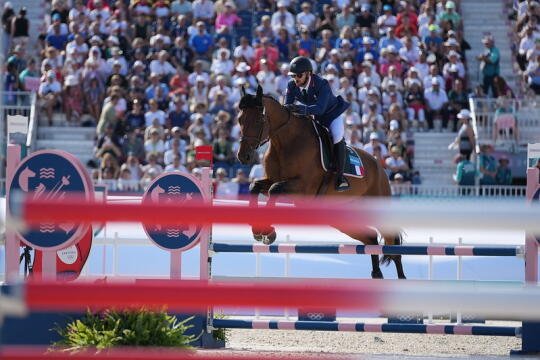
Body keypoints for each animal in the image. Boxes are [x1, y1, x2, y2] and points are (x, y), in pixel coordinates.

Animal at [236, 86, 404, 280]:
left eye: (258, 120)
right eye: (240, 120)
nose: (243, 156)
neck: (285, 141)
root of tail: (380, 167)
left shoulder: (304, 186)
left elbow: (274, 189)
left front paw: (267, 231)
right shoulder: (273, 180)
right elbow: (255, 186)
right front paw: (258, 230)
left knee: (392, 245)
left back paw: (402, 279)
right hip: (342, 217)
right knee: (370, 237)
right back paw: (377, 274)